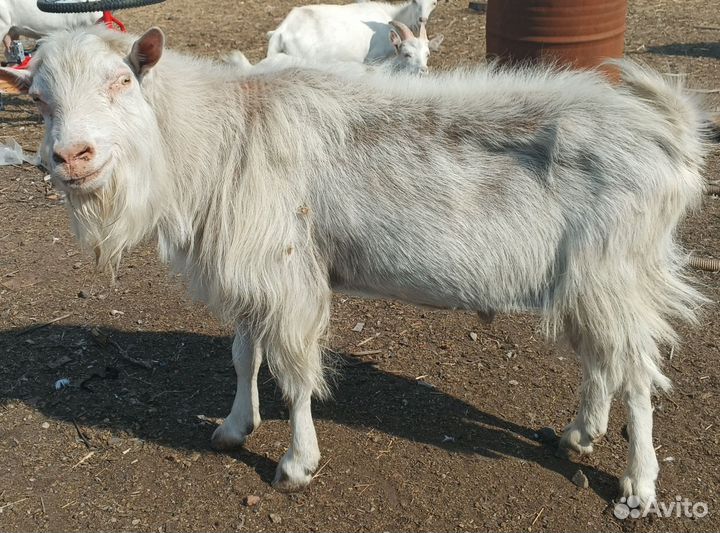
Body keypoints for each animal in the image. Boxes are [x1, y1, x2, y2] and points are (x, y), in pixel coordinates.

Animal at [0, 27, 708, 509]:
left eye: (121, 81)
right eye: (39, 100)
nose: (71, 156)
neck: (222, 134)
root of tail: (670, 135)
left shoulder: (286, 273)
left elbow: (293, 372)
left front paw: (295, 464)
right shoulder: (254, 271)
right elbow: (243, 355)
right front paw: (233, 427)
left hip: (614, 270)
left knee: (638, 375)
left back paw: (638, 485)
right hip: (588, 282)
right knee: (602, 360)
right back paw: (580, 434)